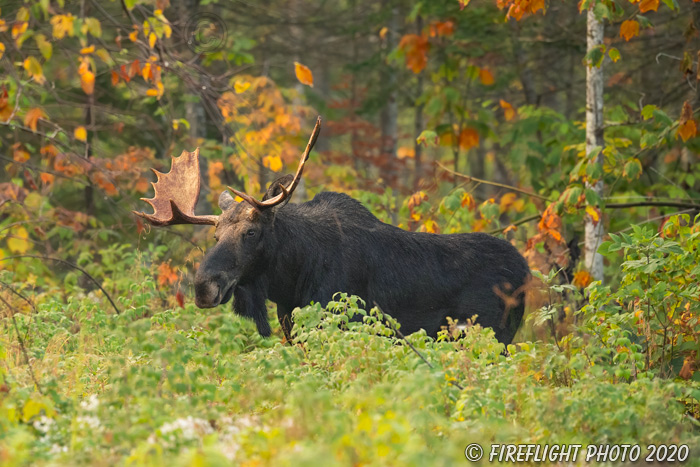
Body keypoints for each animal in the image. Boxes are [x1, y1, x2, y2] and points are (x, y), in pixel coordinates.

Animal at [135, 117, 532, 344]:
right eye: (215, 237)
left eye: (251, 233)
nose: (204, 287)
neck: (290, 280)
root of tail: (526, 271)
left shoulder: (345, 321)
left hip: (491, 335)